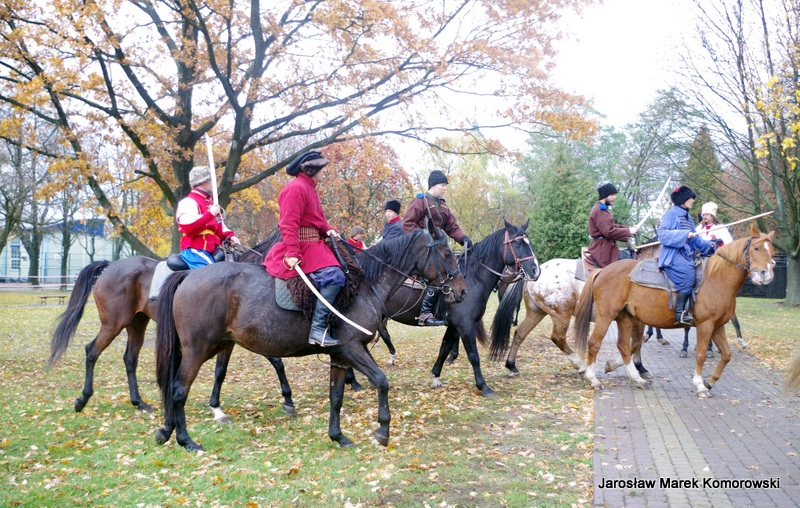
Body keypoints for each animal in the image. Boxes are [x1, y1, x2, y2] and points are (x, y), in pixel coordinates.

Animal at [47, 240, 296, 421]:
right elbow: (275, 361)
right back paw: (83, 399)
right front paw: (287, 398)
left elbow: (223, 371)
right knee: (92, 351)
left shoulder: (232, 338)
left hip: (137, 323)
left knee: (130, 359)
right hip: (113, 324)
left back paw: (139, 403)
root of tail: (110, 265)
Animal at [154, 223, 468, 451]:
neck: (364, 284)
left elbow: (336, 396)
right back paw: (186, 440)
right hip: (198, 350)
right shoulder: (352, 349)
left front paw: (338, 436)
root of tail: (188, 276)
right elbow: (381, 382)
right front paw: (382, 430)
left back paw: (167, 430)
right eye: (447, 254)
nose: (462, 290)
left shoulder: (340, 356)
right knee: (179, 390)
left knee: (172, 386)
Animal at [373, 220, 540, 397]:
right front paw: (483, 386)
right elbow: (473, 355)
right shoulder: (464, 324)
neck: (473, 278)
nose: (535, 270)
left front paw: (436, 377)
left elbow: (444, 348)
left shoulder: (454, 325)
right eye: (518, 243)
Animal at [574, 225, 776, 397]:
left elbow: (726, 355)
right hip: (606, 316)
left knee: (623, 346)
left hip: (625, 318)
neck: (716, 278)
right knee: (594, 343)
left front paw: (710, 381)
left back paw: (637, 379)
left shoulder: (717, 326)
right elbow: (701, 354)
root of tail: (602, 271)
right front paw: (700, 384)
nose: (767, 274)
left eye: (771, 250)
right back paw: (593, 379)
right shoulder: (706, 325)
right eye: (756, 248)